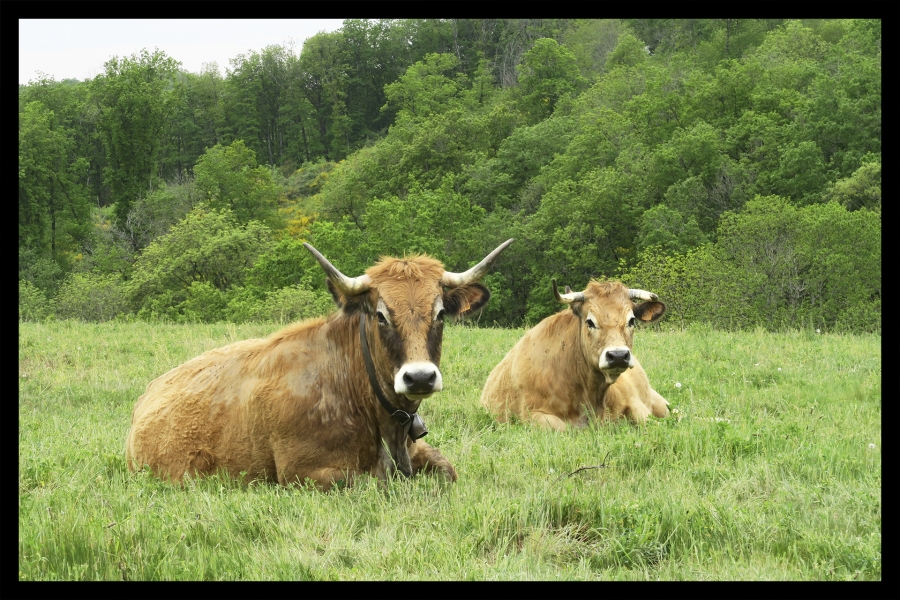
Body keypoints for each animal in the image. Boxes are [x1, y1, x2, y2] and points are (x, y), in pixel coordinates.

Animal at [125, 239, 514, 489]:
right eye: (380, 315)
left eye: (441, 313)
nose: (419, 377)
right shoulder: (304, 473)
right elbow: (370, 484)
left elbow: (448, 470)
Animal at [480, 279, 669, 431]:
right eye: (590, 322)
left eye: (632, 320)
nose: (618, 355)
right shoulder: (531, 415)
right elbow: (562, 428)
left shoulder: (636, 404)